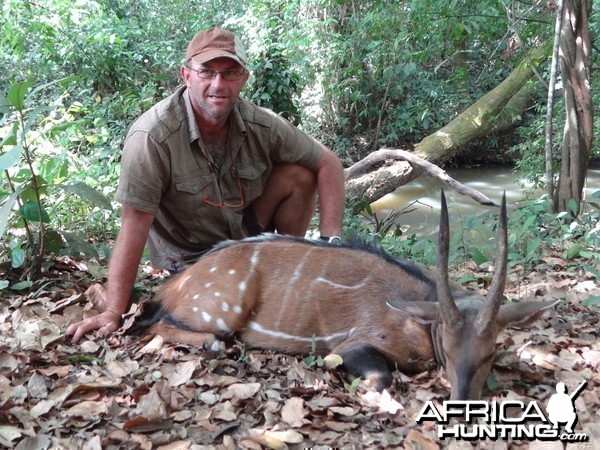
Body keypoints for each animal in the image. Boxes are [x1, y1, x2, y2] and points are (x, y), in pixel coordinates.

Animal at [134, 192, 556, 400]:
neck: (419, 319)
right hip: (223, 310)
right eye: (449, 353)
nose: (462, 401)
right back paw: (212, 343)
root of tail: (178, 281)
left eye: (488, 353)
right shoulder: (355, 344)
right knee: (155, 326)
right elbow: (381, 376)